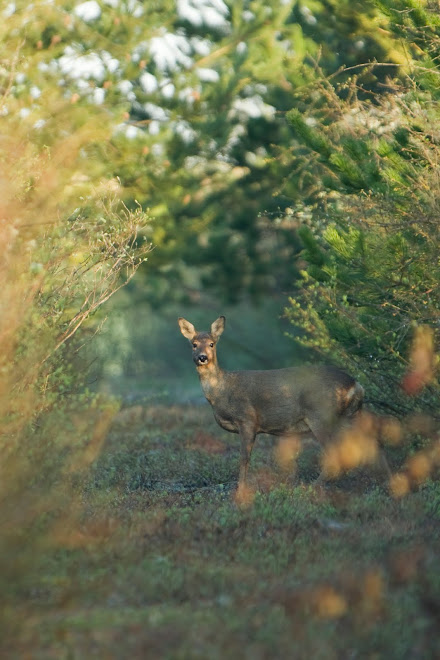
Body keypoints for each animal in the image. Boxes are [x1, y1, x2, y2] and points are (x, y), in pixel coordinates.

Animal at [178, 318, 364, 488]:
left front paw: (241, 489)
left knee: (335, 455)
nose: (202, 357)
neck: (222, 391)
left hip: (321, 415)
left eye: (211, 344)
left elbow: (244, 457)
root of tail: (356, 385)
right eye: (194, 344)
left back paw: (313, 486)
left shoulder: (247, 419)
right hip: (347, 417)